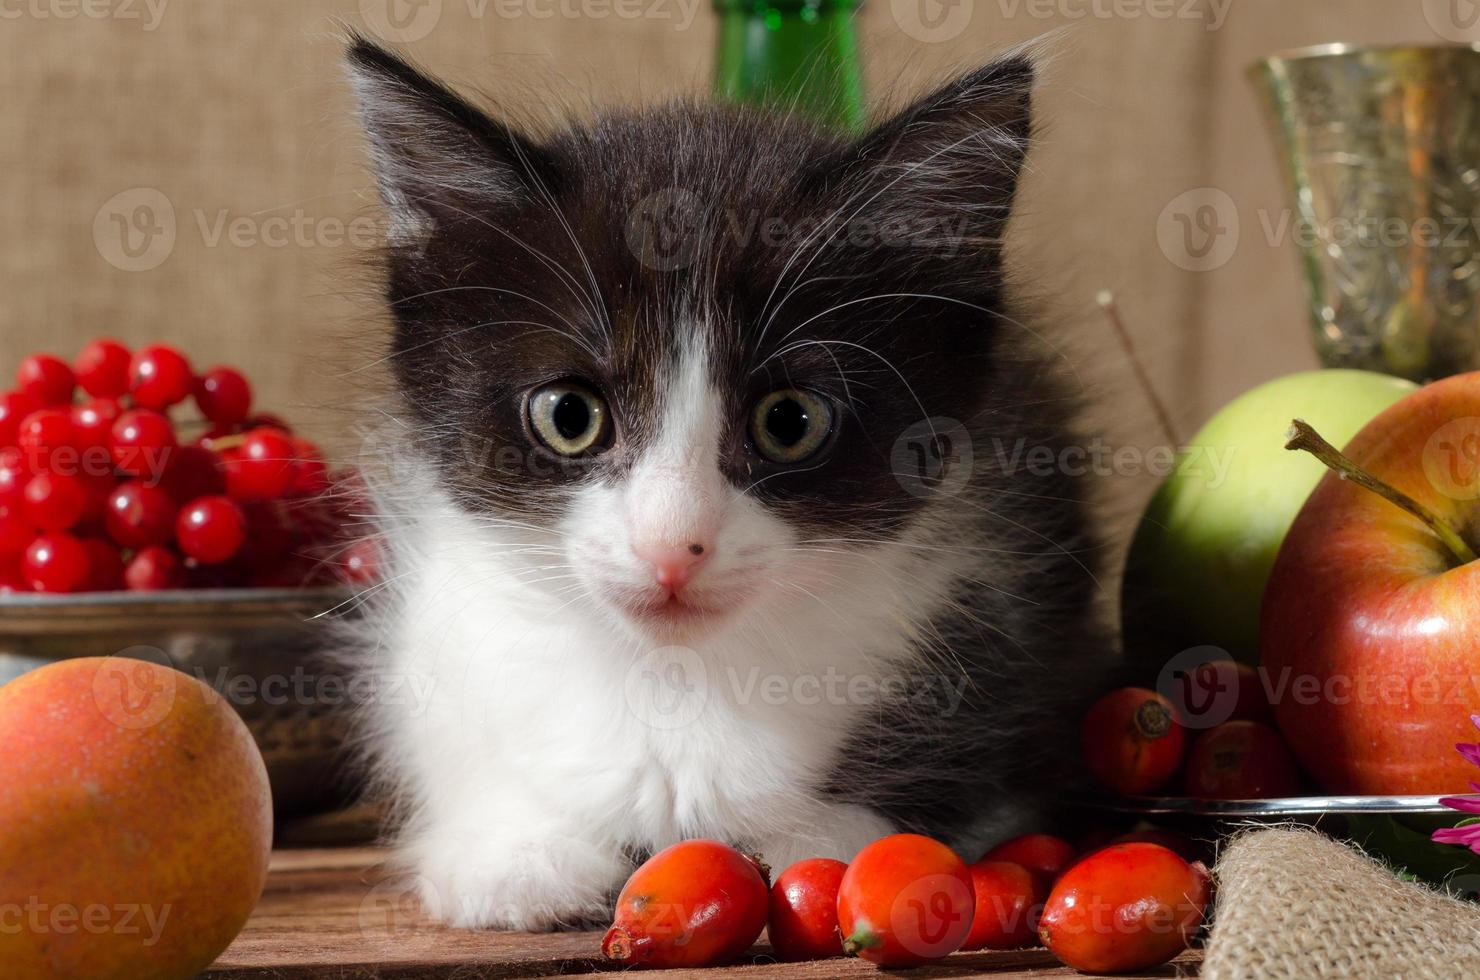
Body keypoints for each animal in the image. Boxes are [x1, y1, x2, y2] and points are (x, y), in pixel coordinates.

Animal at [346, 36, 1107, 929]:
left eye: (790, 421)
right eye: (569, 415)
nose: (672, 546)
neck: (674, 678)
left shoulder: (1009, 616)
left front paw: (830, 833)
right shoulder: (430, 626)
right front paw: (512, 853)